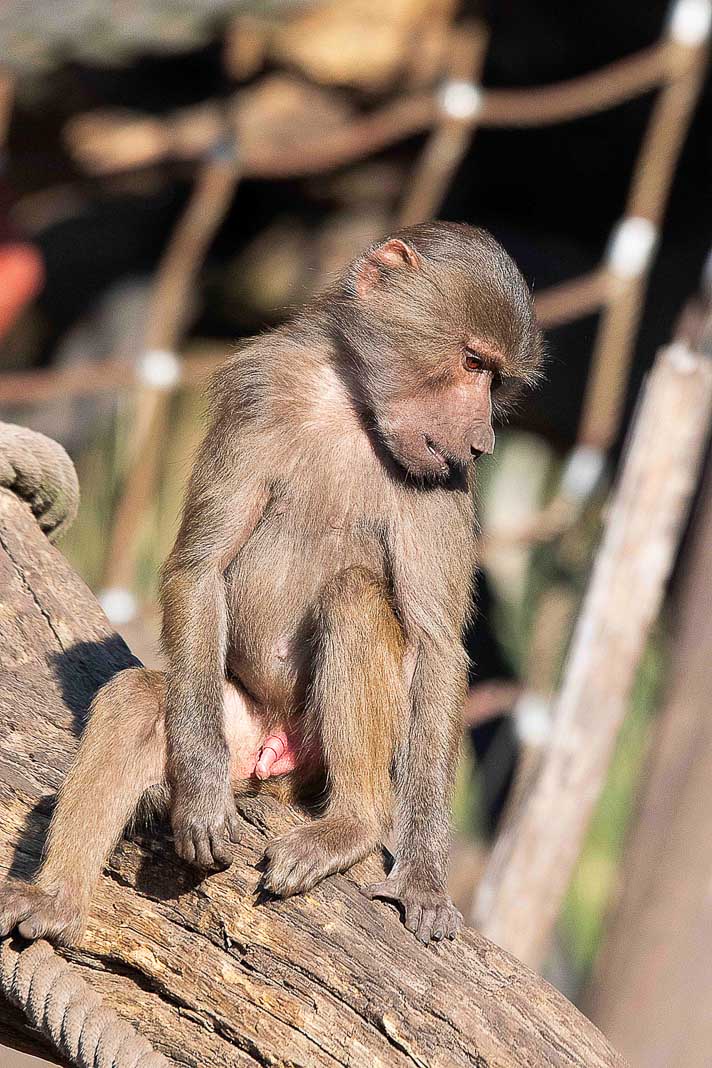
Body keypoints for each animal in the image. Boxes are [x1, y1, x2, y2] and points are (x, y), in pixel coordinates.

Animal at [0, 222, 542, 947]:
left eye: (493, 377)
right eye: (473, 364)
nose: (482, 441)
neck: (351, 405)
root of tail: (278, 758)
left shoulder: (447, 477)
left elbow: (435, 645)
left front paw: (425, 879)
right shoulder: (255, 388)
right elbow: (200, 565)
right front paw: (202, 800)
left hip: (317, 755)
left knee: (356, 596)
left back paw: (353, 825)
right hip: (234, 724)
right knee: (141, 701)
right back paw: (56, 901)